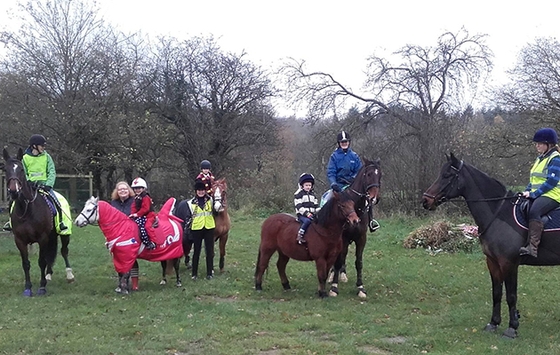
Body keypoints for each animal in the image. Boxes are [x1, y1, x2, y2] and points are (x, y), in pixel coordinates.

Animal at [1, 148, 74, 298]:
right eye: (5, 169)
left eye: (21, 169)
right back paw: (48, 275)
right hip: (52, 236)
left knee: (64, 251)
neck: (26, 209)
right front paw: (28, 288)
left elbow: (41, 261)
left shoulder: (42, 238)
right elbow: (26, 263)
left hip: (64, 234)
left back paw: (69, 275)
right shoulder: (20, 241)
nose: (14, 191)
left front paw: (41, 287)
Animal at [328, 160, 380, 298]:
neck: (355, 207)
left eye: (380, 175)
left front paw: (360, 287)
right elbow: (338, 260)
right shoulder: (343, 238)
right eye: (368, 174)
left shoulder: (361, 238)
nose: (374, 198)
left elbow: (359, 262)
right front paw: (334, 288)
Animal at [422, 154, 560, 340]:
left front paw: (512, 328)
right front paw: (493, 323)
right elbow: (496, 293)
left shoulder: (509, 263)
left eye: (447, 175)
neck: (498, 214)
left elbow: (511, 296)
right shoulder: (493, 262)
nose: (426, 200)